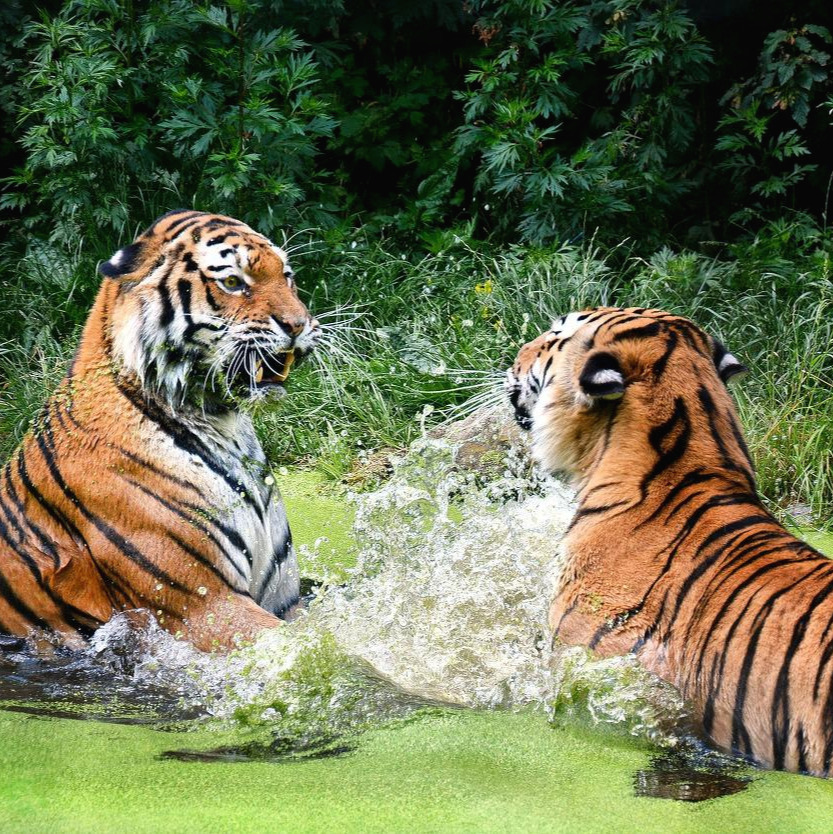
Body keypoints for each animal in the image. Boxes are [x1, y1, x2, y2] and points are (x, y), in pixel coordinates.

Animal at [0, 210, 320, 651]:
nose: (298, 325)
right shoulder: (204, 607)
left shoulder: (285, 598)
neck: (225, 425)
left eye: (287, 276)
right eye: (232, 282)